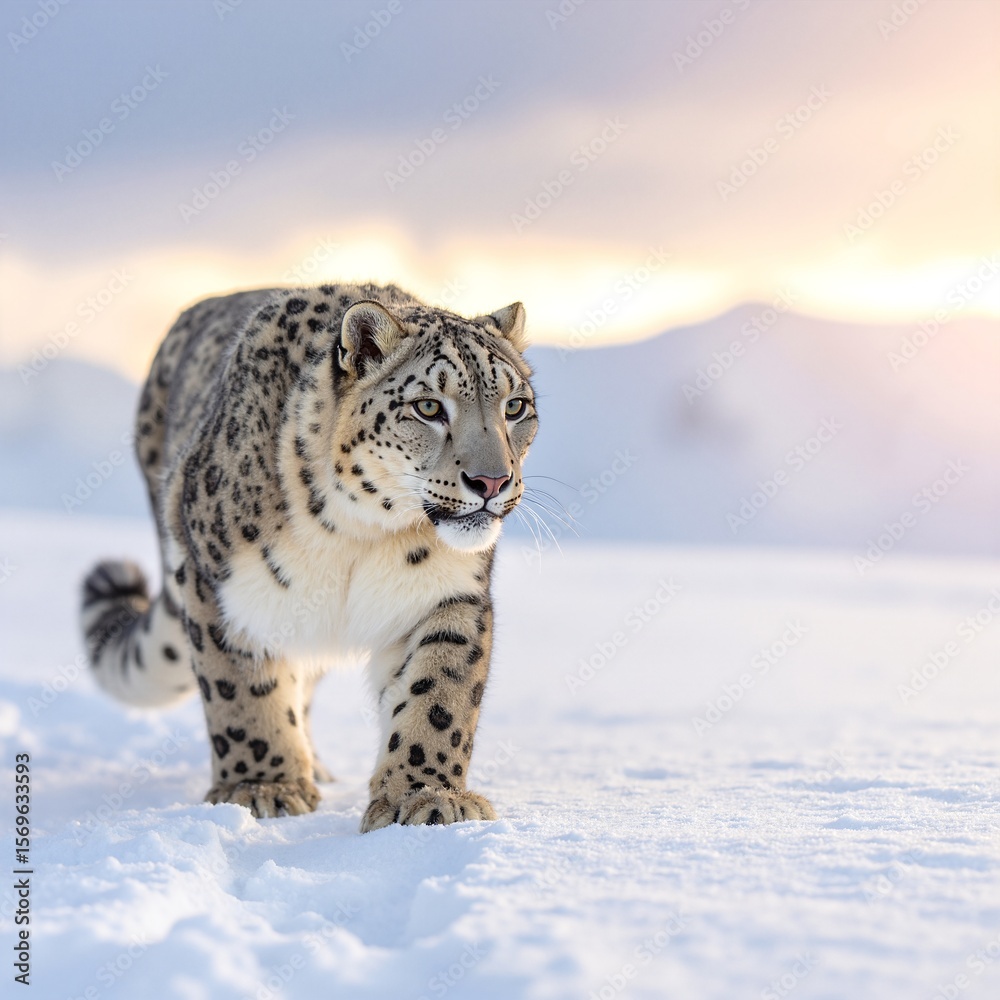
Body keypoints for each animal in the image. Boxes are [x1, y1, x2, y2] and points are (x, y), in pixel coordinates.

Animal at [79, 282, 537, 831]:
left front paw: (426, 797)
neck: (360, 535)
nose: (492, 481)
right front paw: (264, 786)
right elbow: (241, 691)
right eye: (428, 406)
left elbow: (438, 696)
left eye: (515, 406)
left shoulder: (448, 596)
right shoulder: (223, 589)